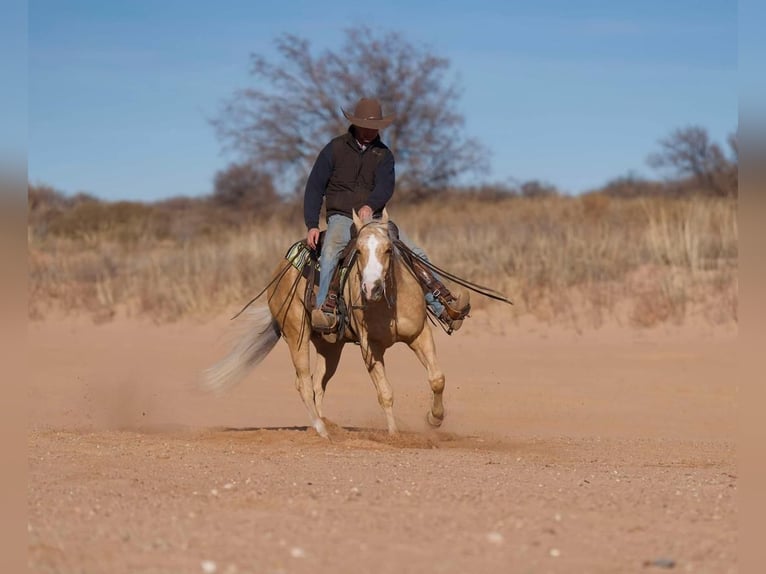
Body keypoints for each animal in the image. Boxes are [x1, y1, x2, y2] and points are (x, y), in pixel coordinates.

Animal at [204, 209, 450, 438]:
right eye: (358, 251)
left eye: (389, 249)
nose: (371, 288)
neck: (388, 304)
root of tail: (282, 268)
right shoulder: (370, 346)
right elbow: (385, 393)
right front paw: (394, 435)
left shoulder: (420, 334)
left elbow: (437, 379)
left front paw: (434, 419)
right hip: (296, 334)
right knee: (304, 383)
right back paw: (322, 430)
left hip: (329, 347)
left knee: (317, 385)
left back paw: (324, 424)